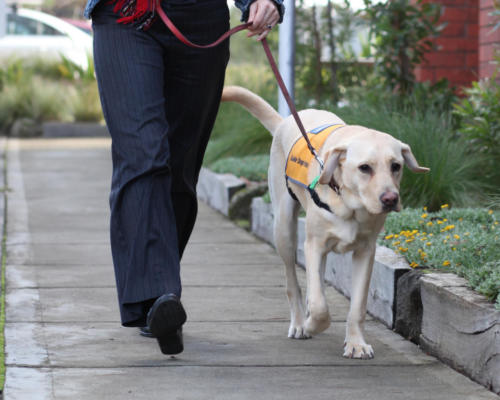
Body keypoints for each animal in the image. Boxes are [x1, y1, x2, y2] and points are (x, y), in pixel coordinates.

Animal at [223, 86, 430, 360]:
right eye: (365, 168)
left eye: (396, 166)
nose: (390, 199)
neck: (349, 205)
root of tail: (285, 121)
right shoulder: (314, 245)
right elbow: (321, 306)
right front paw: (311, 325)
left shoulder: (366, 251)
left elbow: (357, 306)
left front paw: (356, 343)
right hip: (285, 231)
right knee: (294, 283)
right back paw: (300, 322)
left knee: (316, 281)